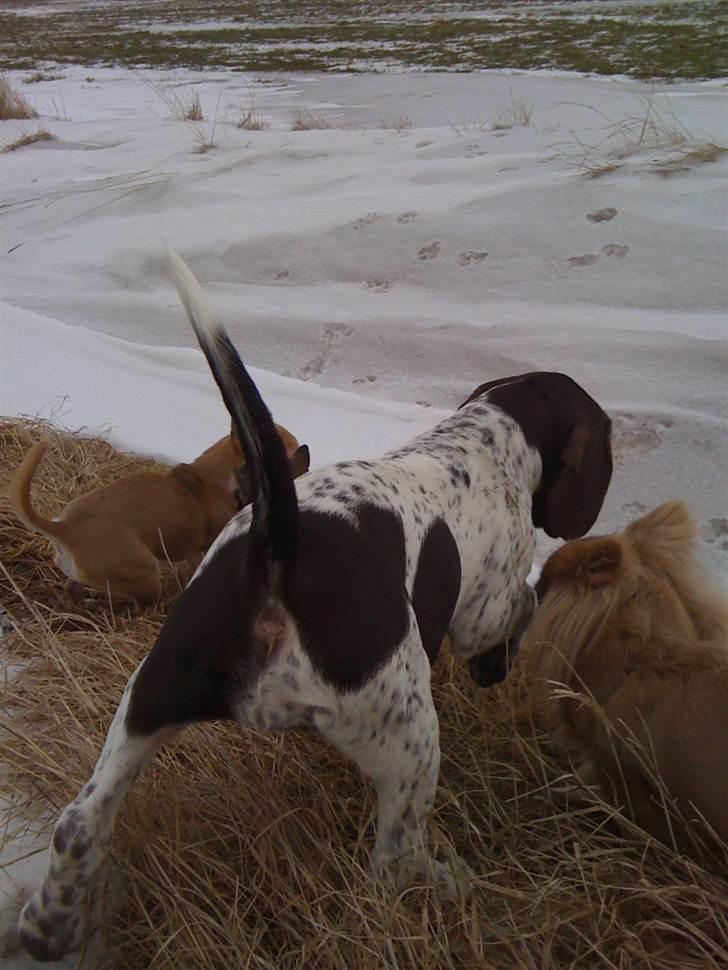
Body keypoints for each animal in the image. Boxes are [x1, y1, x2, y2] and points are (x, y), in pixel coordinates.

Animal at [9, 426, 310, 608]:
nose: (305, 448)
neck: (216, 474)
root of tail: (67, 528)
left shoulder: (193, 551)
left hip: (85, 576)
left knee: (73, 591)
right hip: (146, 572)